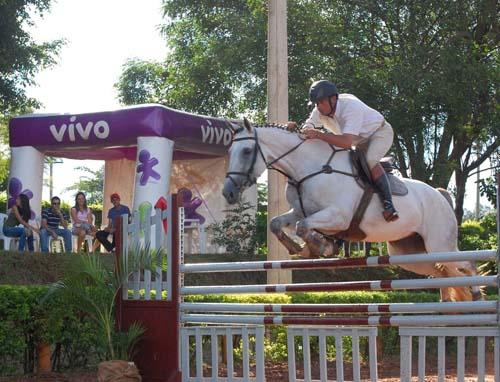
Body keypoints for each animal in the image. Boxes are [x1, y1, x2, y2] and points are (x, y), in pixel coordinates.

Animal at [223, 119, 480, 302]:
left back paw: (476, 294)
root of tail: (439, 195)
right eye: (230, 152)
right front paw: (298, 247)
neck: (308, 168)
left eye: (246, 151)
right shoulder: (300, 210)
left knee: (467, 264)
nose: (228, 193)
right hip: (410, 254)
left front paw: (320, 247)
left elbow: (303, 227)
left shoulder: (338, 216)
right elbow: (278, 223)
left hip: (440, 244)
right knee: (444, 273)